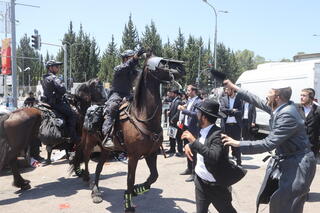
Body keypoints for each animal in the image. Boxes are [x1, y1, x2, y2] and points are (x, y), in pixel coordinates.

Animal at [70, 55, 185, 213]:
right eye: (163, 63)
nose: (181, 68)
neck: (143, 117)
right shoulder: (133, 156)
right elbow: (130, 179)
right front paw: (128, 204)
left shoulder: (151, 153)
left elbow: (154, 176)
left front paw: (138, 189)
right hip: (89, 142)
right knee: (86, 159)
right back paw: (88, 182)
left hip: (105, 149)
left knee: (99, 167)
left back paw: (96, 191)